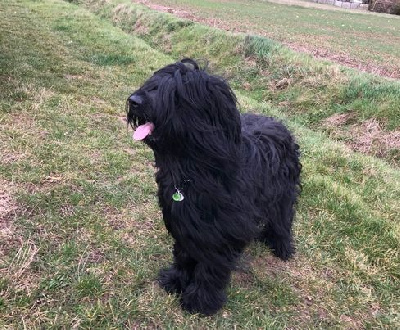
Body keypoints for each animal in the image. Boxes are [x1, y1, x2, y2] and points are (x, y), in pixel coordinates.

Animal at [127, 58, 300, 316]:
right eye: (152, 83)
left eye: (175, 92)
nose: (134, 101)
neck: (197, 168)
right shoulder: (185, 221)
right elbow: (184, 254)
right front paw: (176, 280)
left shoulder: (221, 231)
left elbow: (211, 266)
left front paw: (200, 300)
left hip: (283, 193)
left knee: (282, 218)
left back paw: (281, 245)